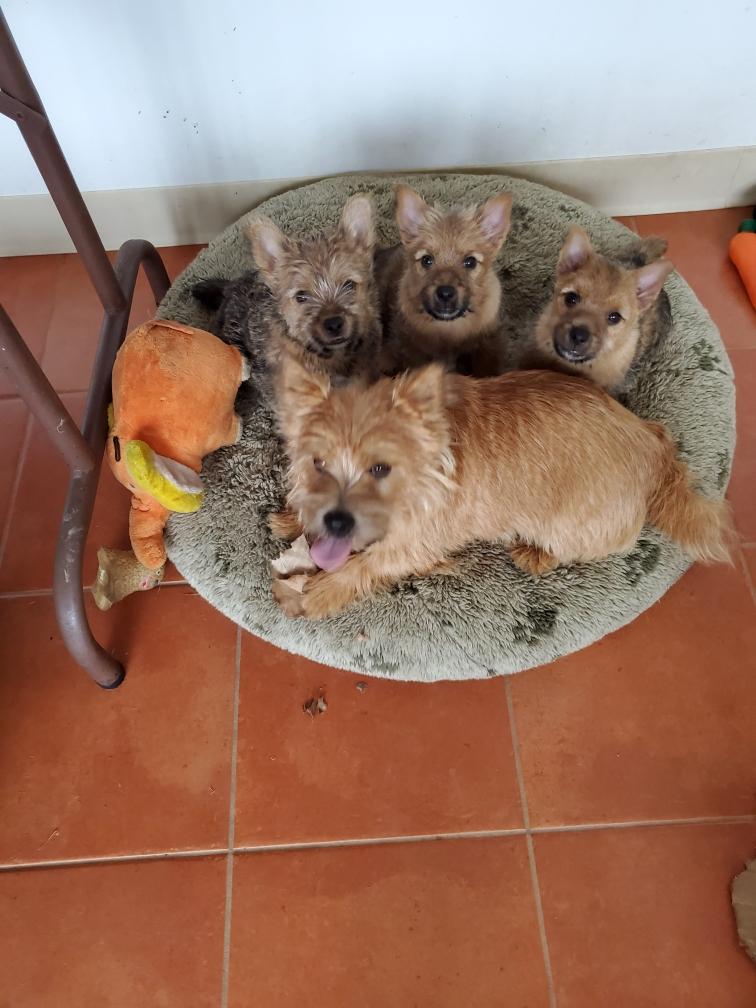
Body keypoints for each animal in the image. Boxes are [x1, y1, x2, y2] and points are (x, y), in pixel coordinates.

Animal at [270, 357, 732, 620]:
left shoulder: (415, 544)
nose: (336, 521)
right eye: (317, 462)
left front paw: (321, 593)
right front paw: (293, 520)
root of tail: (653, 447)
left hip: (570, 528)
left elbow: (364, 566)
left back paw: (534, 552)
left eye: (380, 468)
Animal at [375, 184, 512, 376]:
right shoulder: (412, 348)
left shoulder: (490, 342)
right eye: (426, 260)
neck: (449, 329)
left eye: (470, 262)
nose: (445, 293)